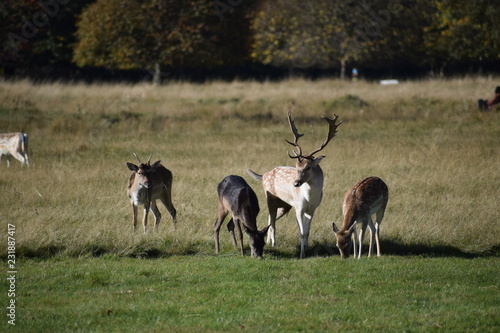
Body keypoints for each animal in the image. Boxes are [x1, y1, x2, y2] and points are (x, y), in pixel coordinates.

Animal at [248, 110, 342, 258]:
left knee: (270, 219)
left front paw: (308, 249)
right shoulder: (299, 207)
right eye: (297, 166)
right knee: (272, 221)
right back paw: (273, 243)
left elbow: (307, 232)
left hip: (285, 205)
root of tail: (264, 175)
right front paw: (302, 254)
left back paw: (268, 241)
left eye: (308, 167)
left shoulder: (312, 209)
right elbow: (301, 232)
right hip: (270, 198)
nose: (296, 183)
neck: (309, 198)